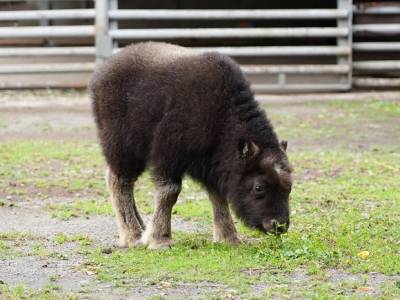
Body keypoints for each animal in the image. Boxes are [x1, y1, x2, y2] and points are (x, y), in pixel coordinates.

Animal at [90, 41, 290, 248]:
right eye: (259, 187)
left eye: (289, 186)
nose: (279, 225)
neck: (222, 116)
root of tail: (103, 70)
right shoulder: (168, 155)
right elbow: (169, 192)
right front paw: (160, 240)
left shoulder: (211, 165)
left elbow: (218, 196)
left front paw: (229, 238)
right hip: (123, 147)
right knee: (120, 182)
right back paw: (133, 235)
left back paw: (142, 228)